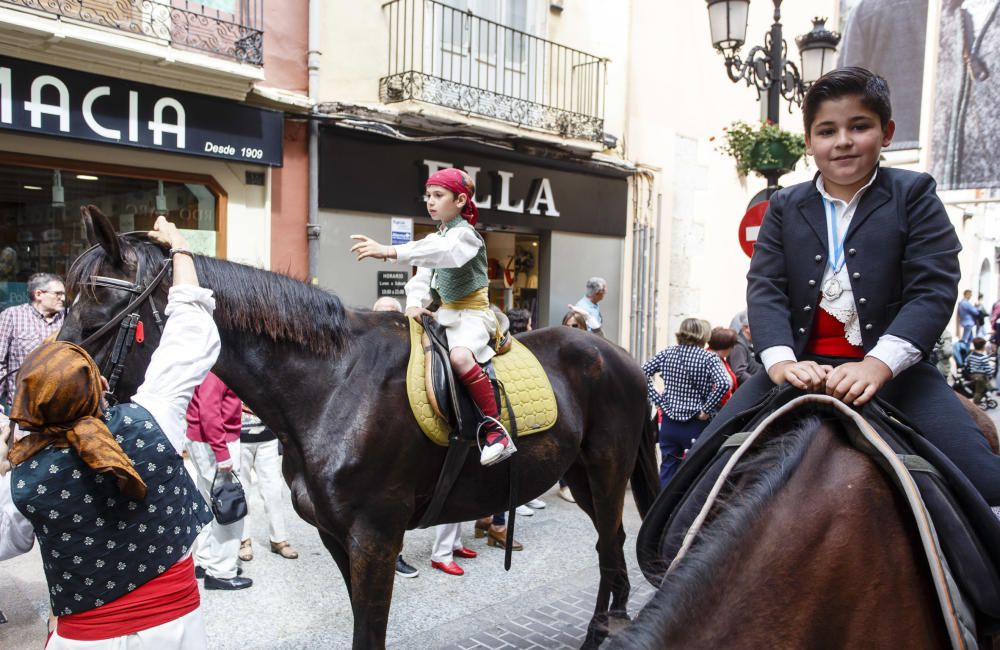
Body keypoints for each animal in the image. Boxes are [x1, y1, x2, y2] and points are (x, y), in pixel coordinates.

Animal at [58, 209, 660, 648]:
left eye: (97, 307)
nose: (46, 378)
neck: (333, 384)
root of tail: (620, 356)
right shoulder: (336, 535)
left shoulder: (374, 536)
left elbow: (369, 631)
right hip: (580, 475)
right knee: (611, 545)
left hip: (606, 473)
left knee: (611, 548)